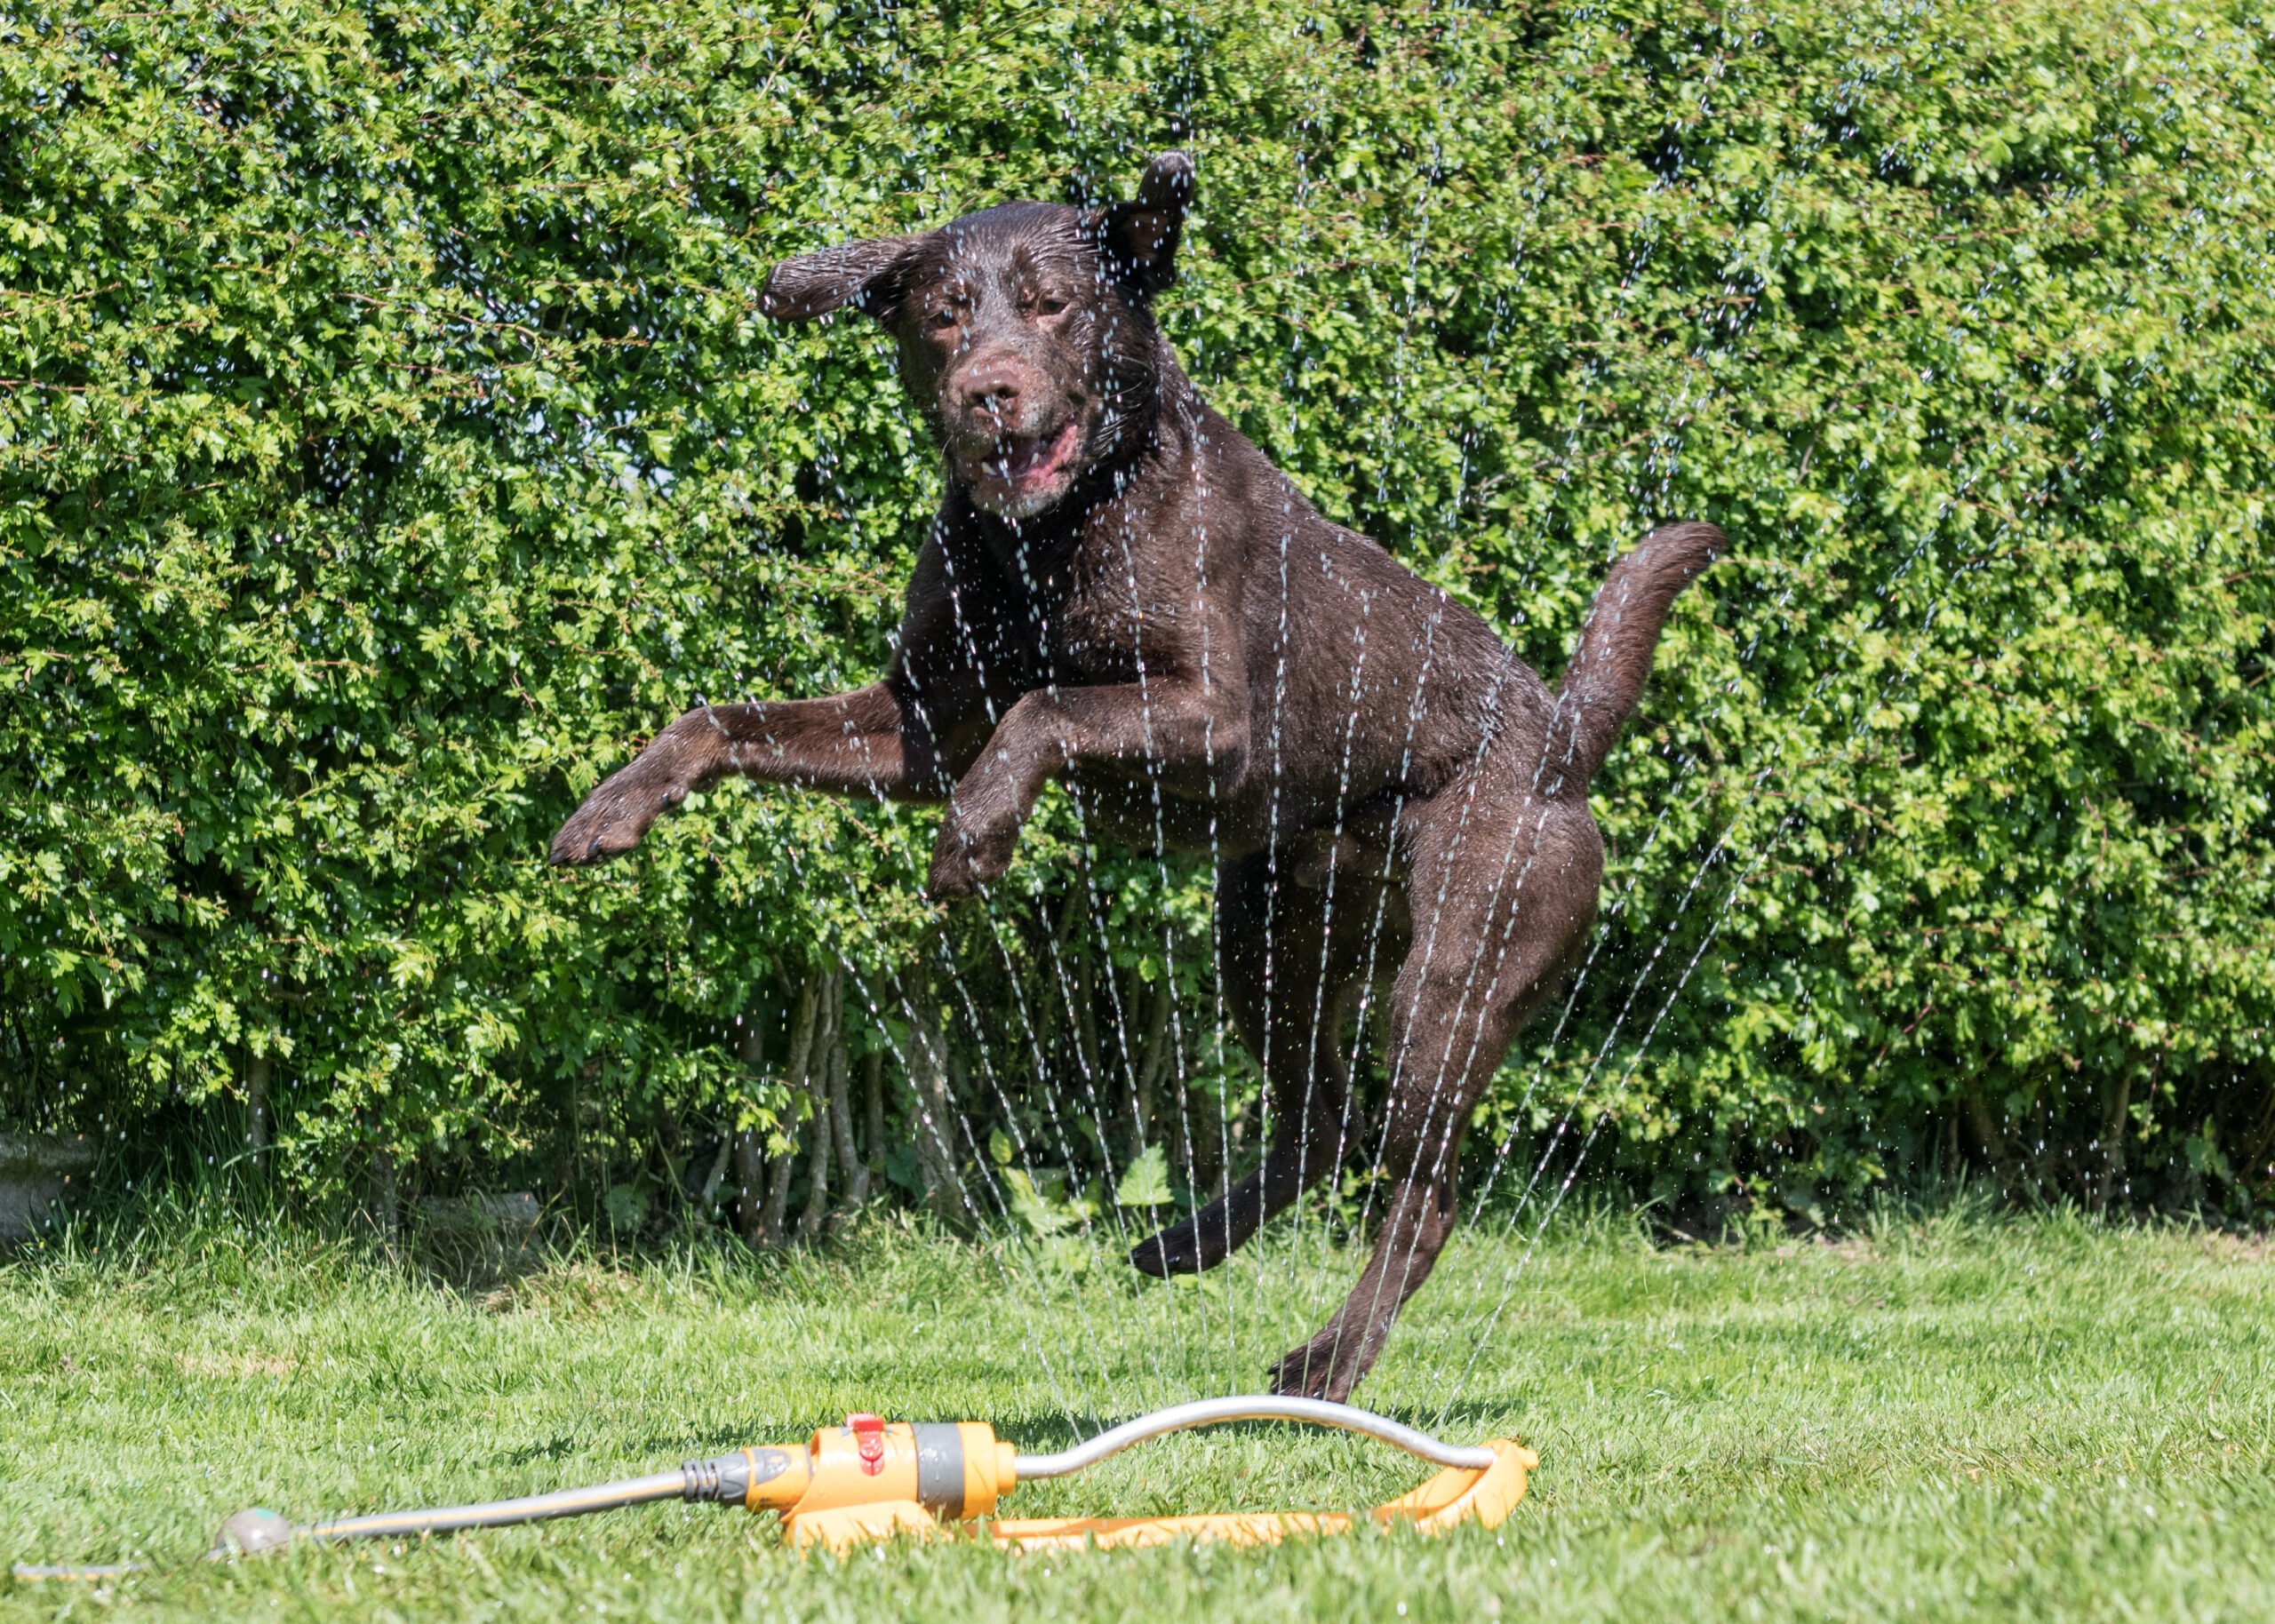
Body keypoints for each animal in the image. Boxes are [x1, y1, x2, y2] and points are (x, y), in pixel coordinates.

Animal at [555, 148, 1720, 1391]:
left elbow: (1047, 709)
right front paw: (611, 807)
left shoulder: (1211, 717)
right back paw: (1184, 1245)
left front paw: (974, 838)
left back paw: (1326, 1362)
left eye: (1054, 307)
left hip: (1452, 975)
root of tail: (1562, 739)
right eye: (943, 314)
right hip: (1269, 937)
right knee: (1318, 1122)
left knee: (1420, 1190)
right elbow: (722, 716)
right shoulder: (921, 722)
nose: (987, 392)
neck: (1050, 533)